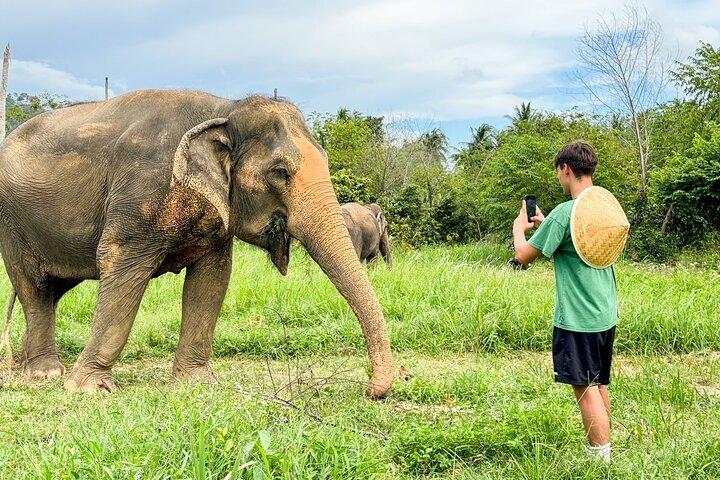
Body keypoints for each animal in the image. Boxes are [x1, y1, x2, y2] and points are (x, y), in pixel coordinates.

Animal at [0, 89, 395, 398]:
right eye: (280, 172)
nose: (370, 389)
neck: (225, 108)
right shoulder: (139, 196)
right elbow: (120, 264)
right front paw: (89, 388)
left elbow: (212, 279)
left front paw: (196, 384)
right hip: (12, 225)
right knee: (35, 289)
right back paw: (46, 374)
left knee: (52, 291)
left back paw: (29, 366)